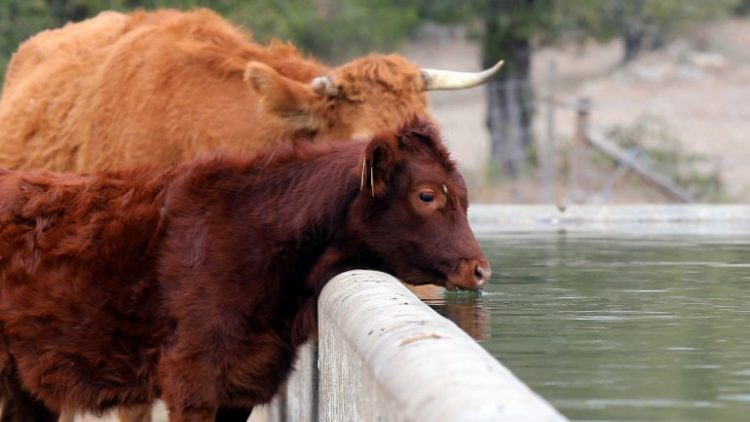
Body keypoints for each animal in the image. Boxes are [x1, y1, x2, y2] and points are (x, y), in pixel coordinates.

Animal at [0, 120, 490, 422]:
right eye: (427, 195)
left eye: (465, 195)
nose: (481, 269)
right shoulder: (191, 376)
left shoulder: (244, 383)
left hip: (26, 381)